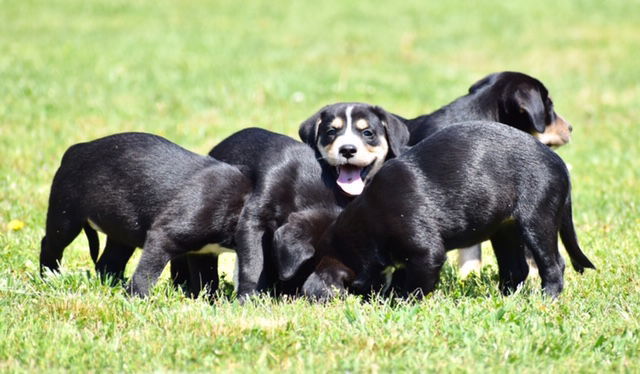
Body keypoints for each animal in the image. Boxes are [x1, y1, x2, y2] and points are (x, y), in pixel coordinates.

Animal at [39, 132, 250, 298]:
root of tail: (75, 149)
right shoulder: (164, 236)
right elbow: (147, 273)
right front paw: (136, 299)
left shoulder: (204, 251)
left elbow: (206, 280)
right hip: (66, 217)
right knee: (50, 245)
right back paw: (49, 277)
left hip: (120, 233)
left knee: (108, 263)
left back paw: (112, 285)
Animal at [298, 122, 596, 300]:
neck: (370, 219)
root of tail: (558, 163)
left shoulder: (425, 251)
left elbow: (416, 284)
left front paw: (402, 302)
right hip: (505, 230)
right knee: (516, 268)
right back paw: (504, 298)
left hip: (537, 220)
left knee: (553, 264)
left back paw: (547, 299)